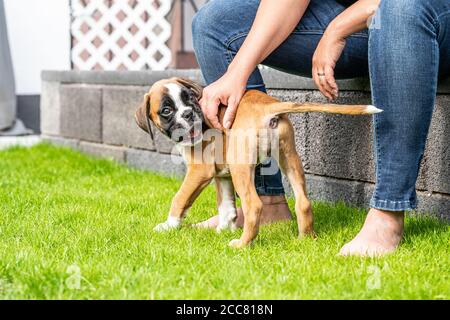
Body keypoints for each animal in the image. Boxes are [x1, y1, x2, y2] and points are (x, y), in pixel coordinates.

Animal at [134, 77, 380, 248]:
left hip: (241, 166)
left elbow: (179, 199)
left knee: (254, 205)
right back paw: (305, 239)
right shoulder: (223, 176)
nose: (188, 114)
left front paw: (168, 226)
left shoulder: (199, 172)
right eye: (166, 110)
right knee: (303, 202)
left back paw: (242, 244)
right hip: (289, 157)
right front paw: (224, 228)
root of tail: (265, 107)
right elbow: (226, 205)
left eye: (190, 99)